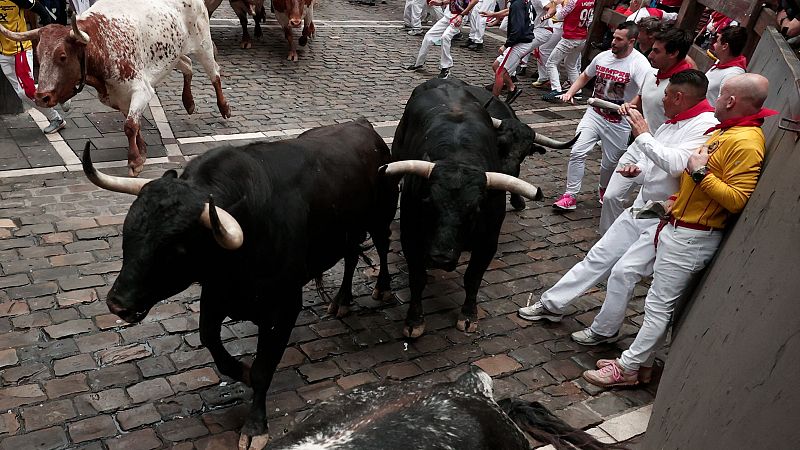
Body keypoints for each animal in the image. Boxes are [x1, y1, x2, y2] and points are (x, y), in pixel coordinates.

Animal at [81, 118, 400, 448]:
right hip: (348, 232)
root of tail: (362, 126)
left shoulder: (284, 307)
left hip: (381, 216)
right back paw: (342, 300)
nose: (117, 304)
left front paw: (255, 426)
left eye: (176, 249)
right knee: (350, 257)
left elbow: (262, 369)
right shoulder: (215, 294)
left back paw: (382, 288)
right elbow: (211, 340)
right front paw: (240, 372)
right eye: (128, 231)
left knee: (382, 244)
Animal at [386, 78, 576, 338]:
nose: (440, 257)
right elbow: (417, 278)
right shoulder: (411, 237)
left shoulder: (488, 242)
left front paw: (468, 316)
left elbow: (473, 278)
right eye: (428, 203)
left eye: (474, 210)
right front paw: (414, 321)